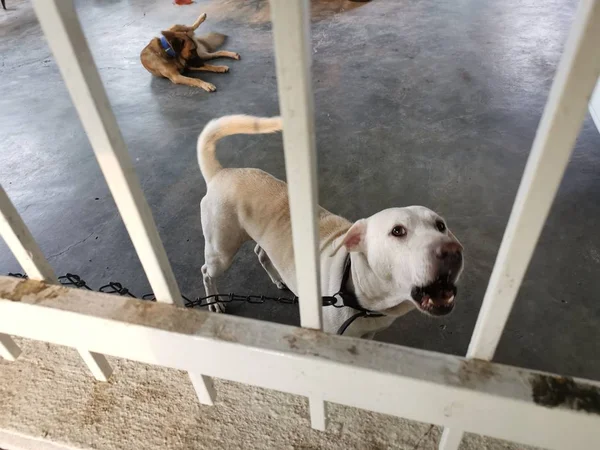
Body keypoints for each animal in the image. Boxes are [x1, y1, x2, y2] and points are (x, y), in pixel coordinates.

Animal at [198, 116, 464, 338]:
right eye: (397, 231)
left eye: (440, 226)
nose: (452, 251)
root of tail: (221, 173)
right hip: (221, 252)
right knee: (206, 271)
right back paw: (213, 301)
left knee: (260, 252)